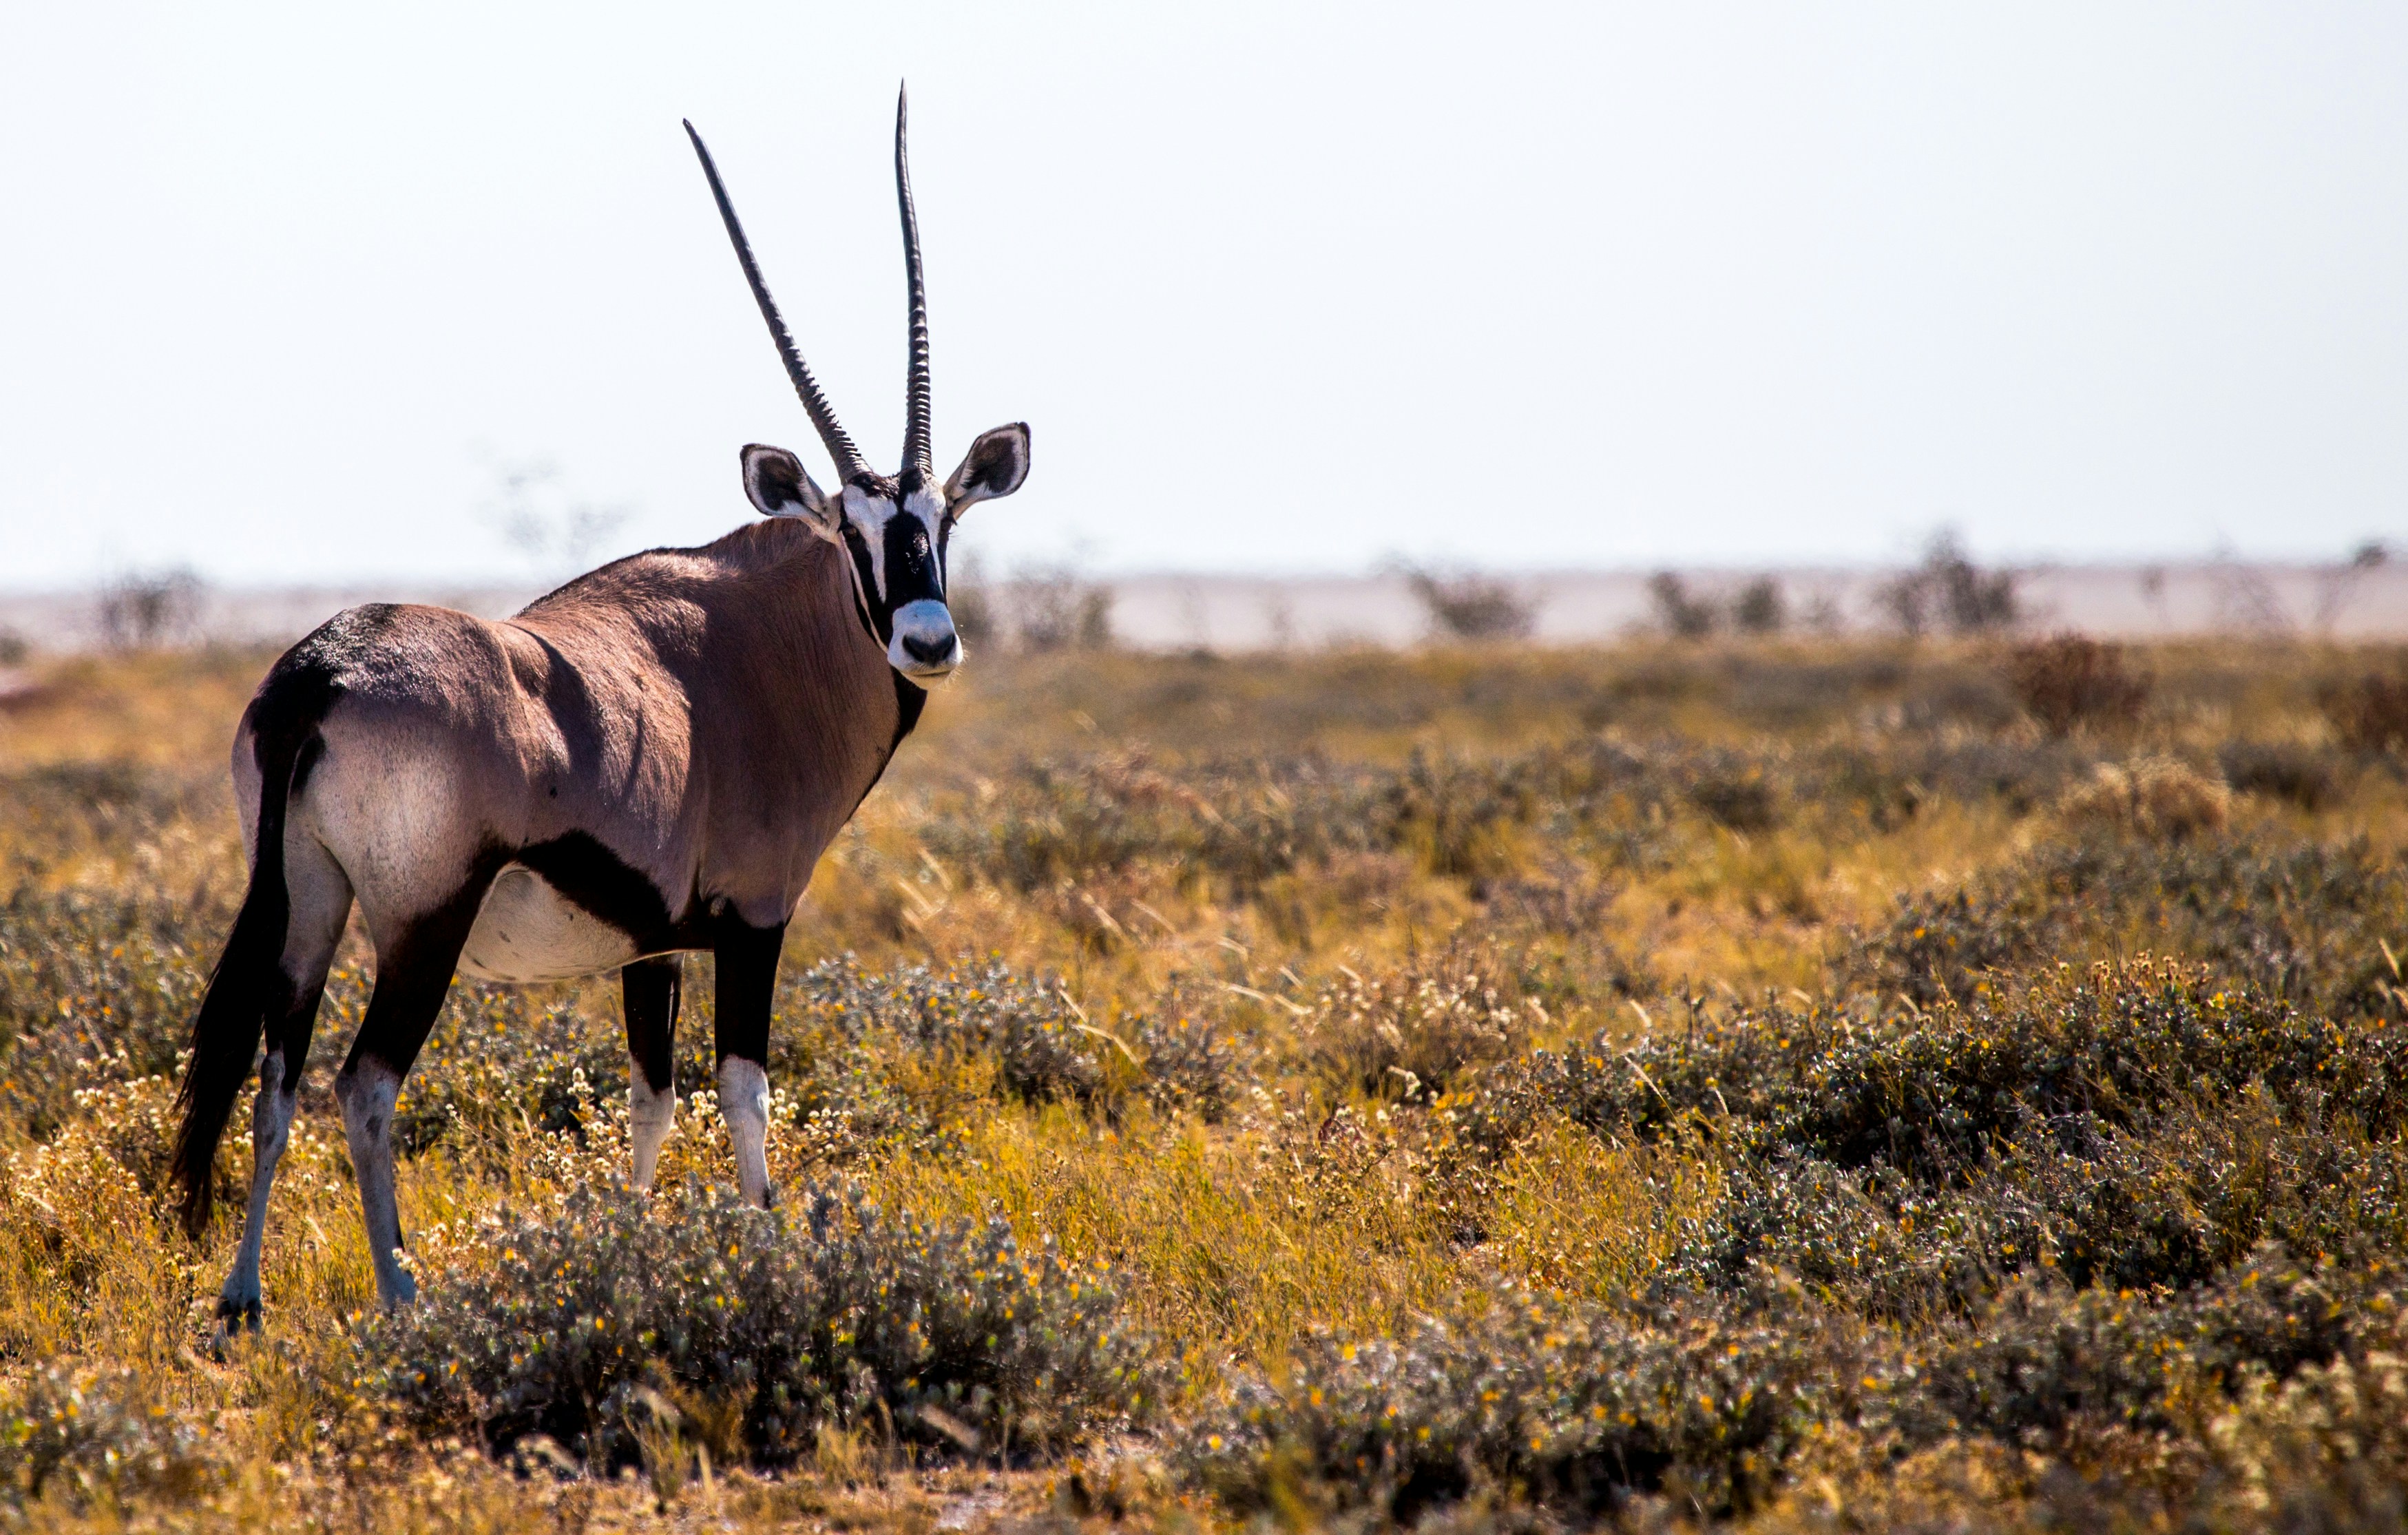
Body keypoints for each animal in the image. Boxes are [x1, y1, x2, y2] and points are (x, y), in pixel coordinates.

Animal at [168, 89, 1030, 1329]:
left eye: (941, 519)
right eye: (853, 529)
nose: (927, 637)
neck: (747, 651)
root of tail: (324, 667)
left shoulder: (650, 946)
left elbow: (650, 1098)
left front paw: (631, 1246)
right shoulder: (755, 921)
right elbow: (743, 1090)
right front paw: (765, 1250)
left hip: (307, 904)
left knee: (276, 1073)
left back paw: (243, 1293)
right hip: (421, 920)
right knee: (364, 1084)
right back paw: (403, 1294)